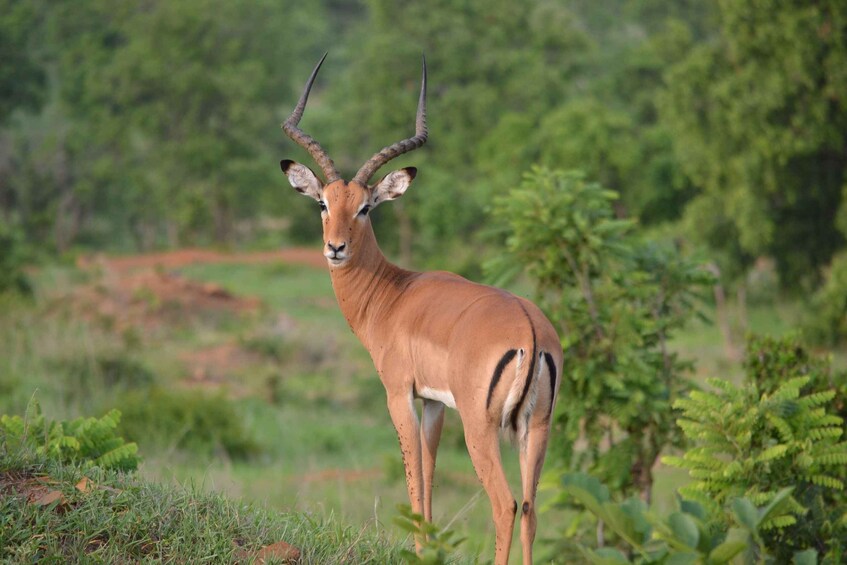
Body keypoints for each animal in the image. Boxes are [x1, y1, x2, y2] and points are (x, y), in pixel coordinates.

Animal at [279, 54, 562, 565]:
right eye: (323, 203)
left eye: (366, 207)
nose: (336, 247)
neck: (392, 295)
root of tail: (530, 333)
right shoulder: (434, 403)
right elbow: (429, 478)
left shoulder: (399, 396)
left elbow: (413, 480)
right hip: (538, 428)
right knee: (532, 508)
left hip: (481, 429)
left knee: (506, 504)